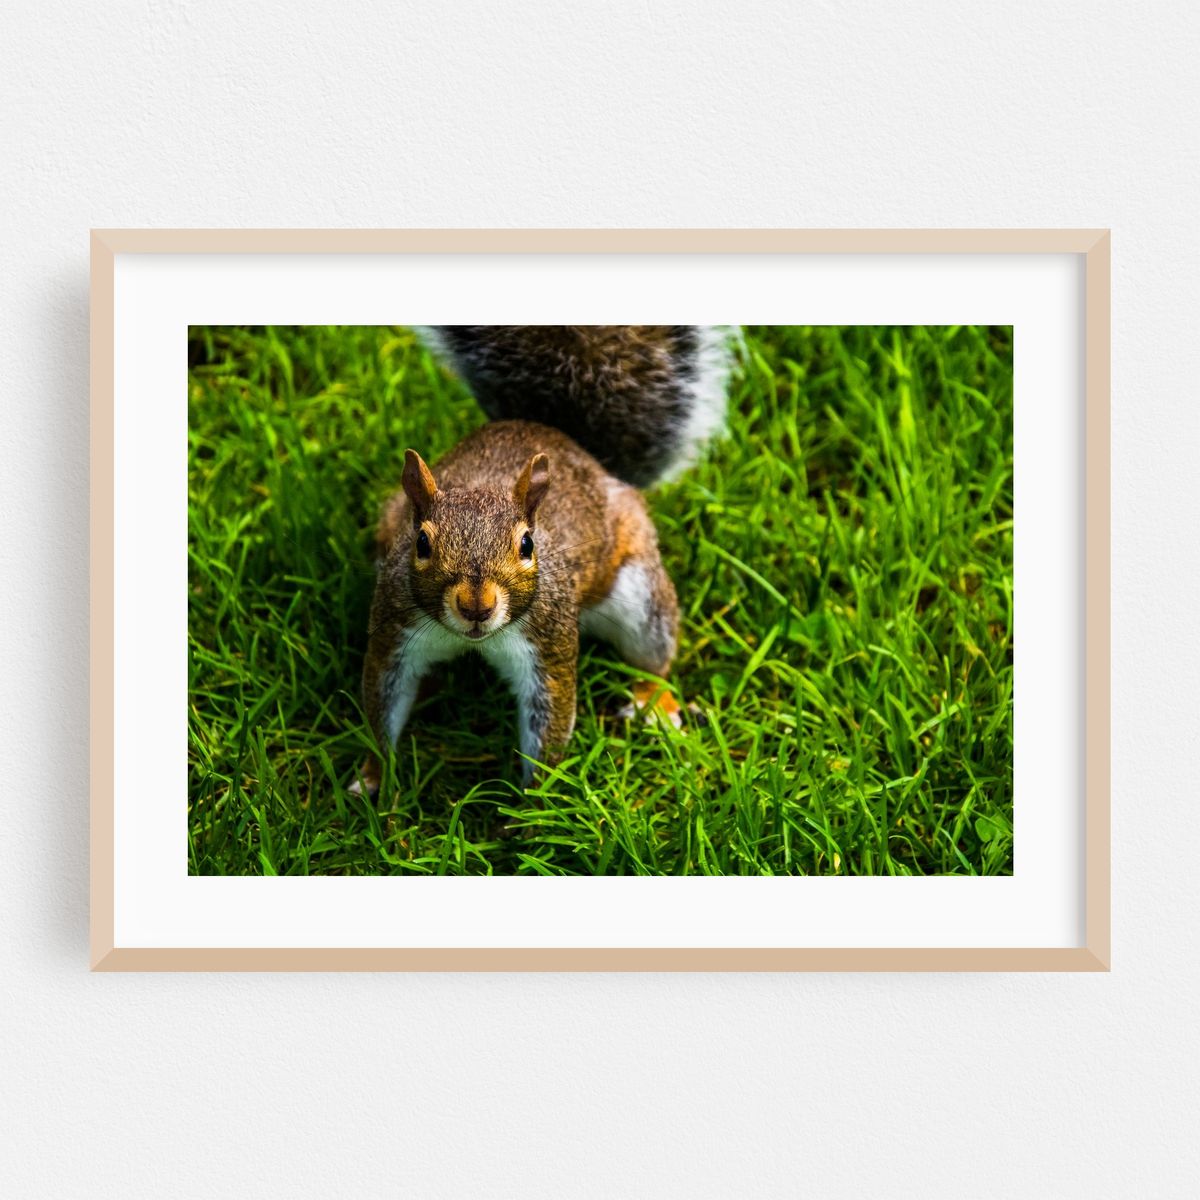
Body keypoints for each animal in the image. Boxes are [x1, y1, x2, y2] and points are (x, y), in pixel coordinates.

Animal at [353, 325, 734, 794]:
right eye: (421, 542)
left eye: (527, 545)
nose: (476, 607)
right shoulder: (395, 630)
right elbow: (382, 702)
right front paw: (374, 775)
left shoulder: (546, 643)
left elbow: (548, 718)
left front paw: (536, 802)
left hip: (640, 591)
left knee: (655, 654)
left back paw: (653, 702)